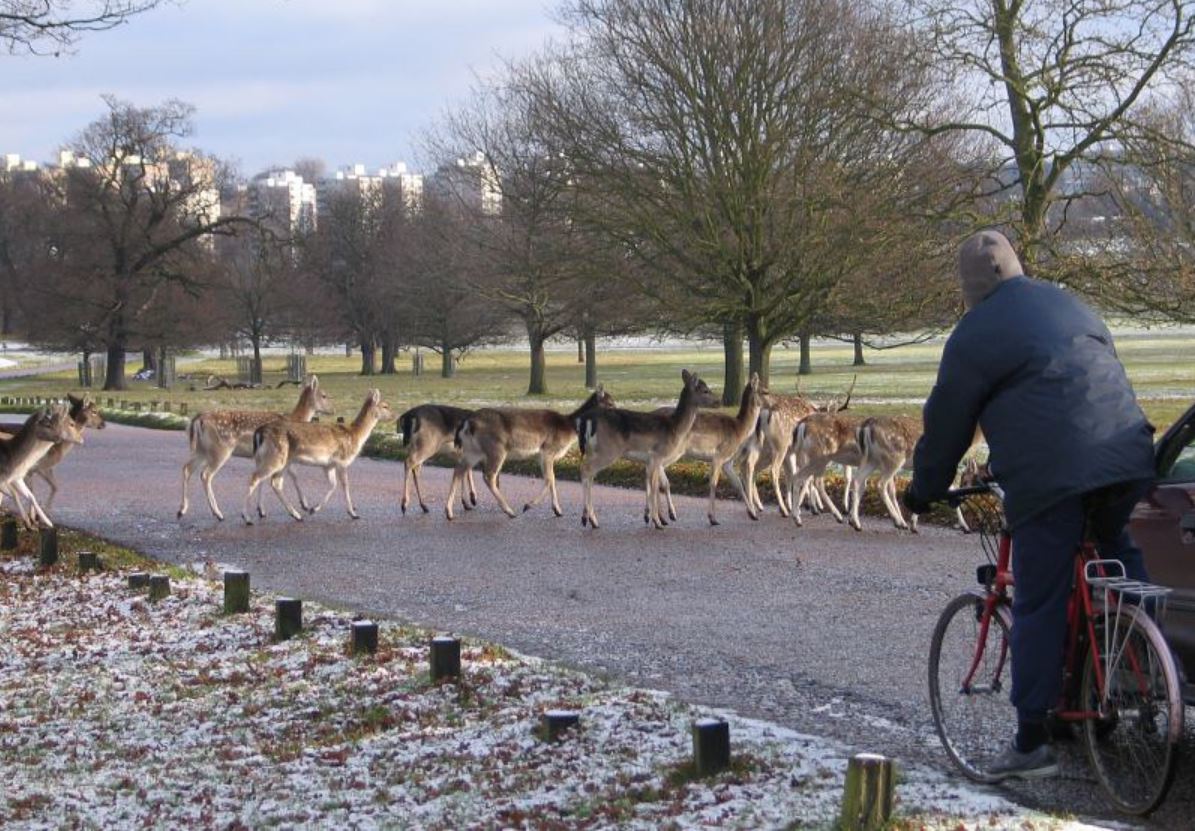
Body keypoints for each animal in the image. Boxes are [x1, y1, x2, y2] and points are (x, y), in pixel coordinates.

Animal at [174, 375, 332, 523]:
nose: (332, 409)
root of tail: (197, 420)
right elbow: (293, 474)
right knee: (206, 474)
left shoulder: (261, 457)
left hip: (201, 449)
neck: (294, 418)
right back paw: (218, 513)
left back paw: (182, 510)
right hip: (220, 449)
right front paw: (305, 505)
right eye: (324, 395)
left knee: (187, 468)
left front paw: (261, 510)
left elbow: (262, 480)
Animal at [241, 387, 391, 523]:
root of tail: (259, 433)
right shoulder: (342, 460)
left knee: (275, 483)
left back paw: (296, 515)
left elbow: (333, 485)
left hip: (279, 460)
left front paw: (314, 509)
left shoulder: (328, 465)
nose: (393, 415)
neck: (355, 436)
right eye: (385, 405)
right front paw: (353, 514)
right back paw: (247, 517)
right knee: (255, 478)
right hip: (275, 457)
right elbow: (345, 485)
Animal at [446, 385, 621, 516]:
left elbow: (553, 479)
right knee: (488, 476)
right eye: (610, 403)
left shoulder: (542, 456)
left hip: (473, 450)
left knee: (459, 469)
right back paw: (509, 511)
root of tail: (466, 422)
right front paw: (528, 505)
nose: (619, 413)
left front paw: (557, 510)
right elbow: (549, 479)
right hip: (496, 448)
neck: (569, 427)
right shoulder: (548, 449)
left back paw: (449, 511)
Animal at [575, 368, 707, 530]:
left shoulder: (652, 461)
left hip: (592, 450)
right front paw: (659, 520)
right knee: (586, 469)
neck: (675, 428)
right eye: (705, 390)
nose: (718, 401)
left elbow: (657, 483)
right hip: (608, 451)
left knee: (589, 474)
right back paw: (588, 519)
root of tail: (584, 419)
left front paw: (656, 517)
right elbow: (657, 485)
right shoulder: (657, 456)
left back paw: (589, 518)